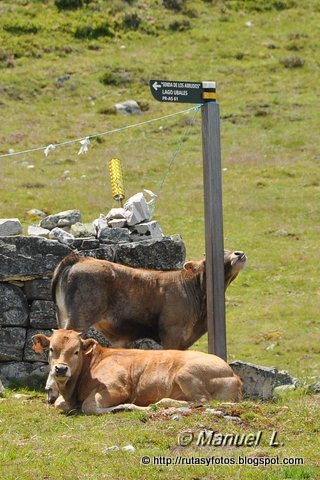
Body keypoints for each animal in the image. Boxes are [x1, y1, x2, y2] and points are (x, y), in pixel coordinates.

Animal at [33, 328, 242, 414]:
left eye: (76, 351)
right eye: (51, 349)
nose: (61, 368)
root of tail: (234, 374)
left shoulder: (117, 389)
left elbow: (89, 406)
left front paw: (123, 406)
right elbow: (59, 403)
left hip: (186, 373)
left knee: (201, 401)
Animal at [53, 251, 248, 348]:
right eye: (208, 259)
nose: (239, 253)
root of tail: (80, 258)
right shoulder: (172, 333)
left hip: (63, 317)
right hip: (79, 319)